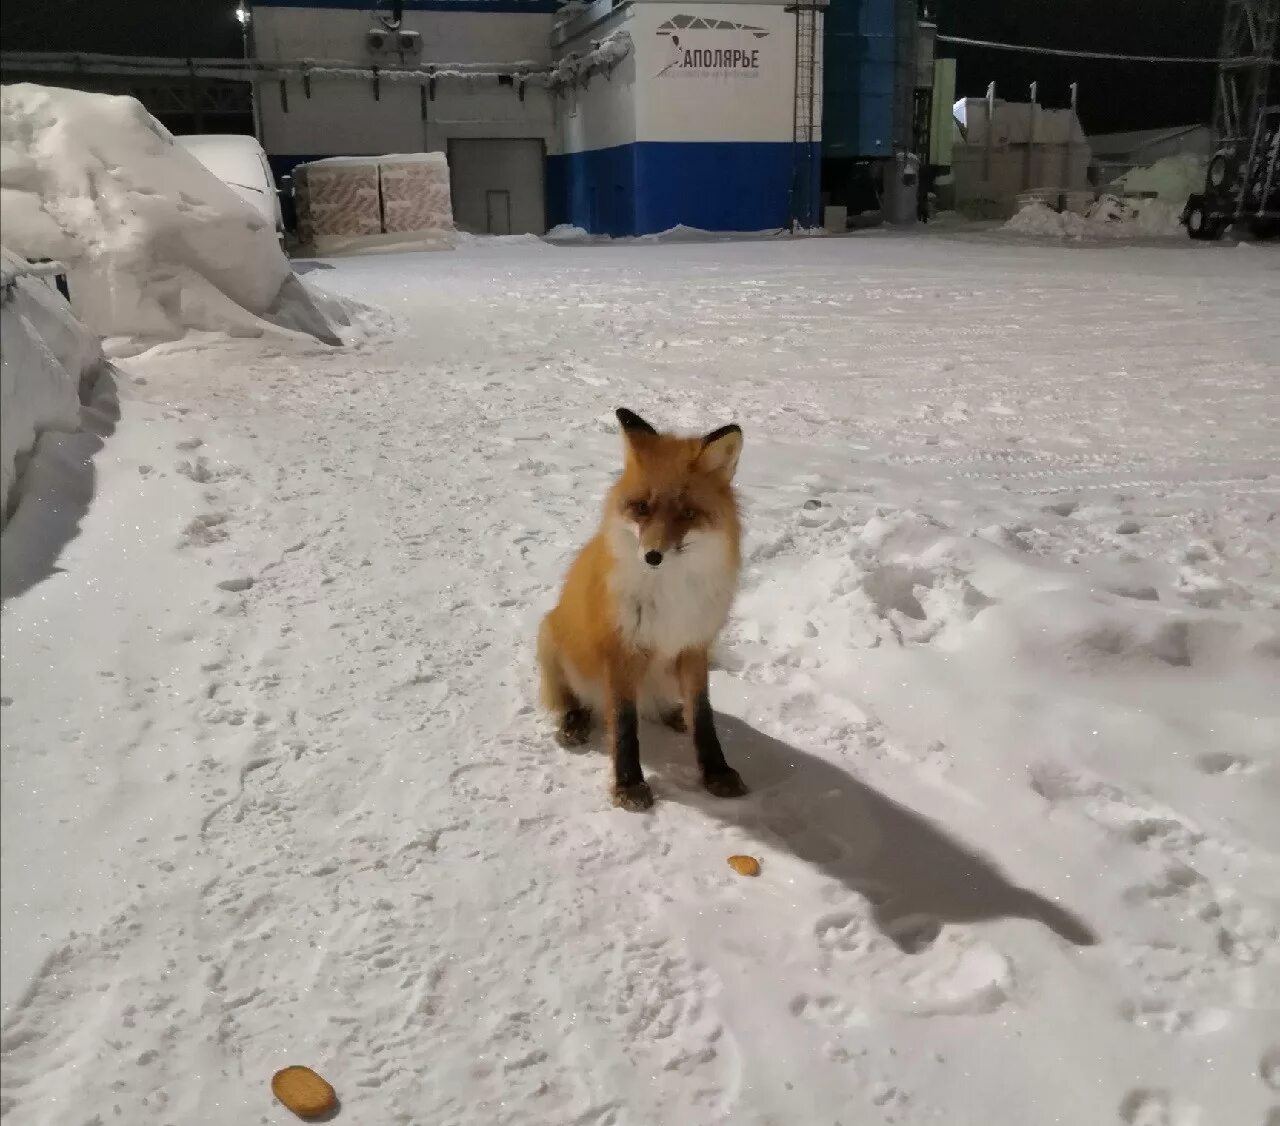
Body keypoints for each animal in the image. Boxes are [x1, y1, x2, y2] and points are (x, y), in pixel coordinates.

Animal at [535, 404, 747, 808]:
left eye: (687, 513)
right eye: (642, 508)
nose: (652, 556)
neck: (670, 595)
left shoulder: (694, 646)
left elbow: (703, 715)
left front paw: (716, 771)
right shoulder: (621, 650)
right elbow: (623, 724)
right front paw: (628, 785)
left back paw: (672, 714)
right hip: (549, 636)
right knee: (572, 700)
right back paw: (574, 721)